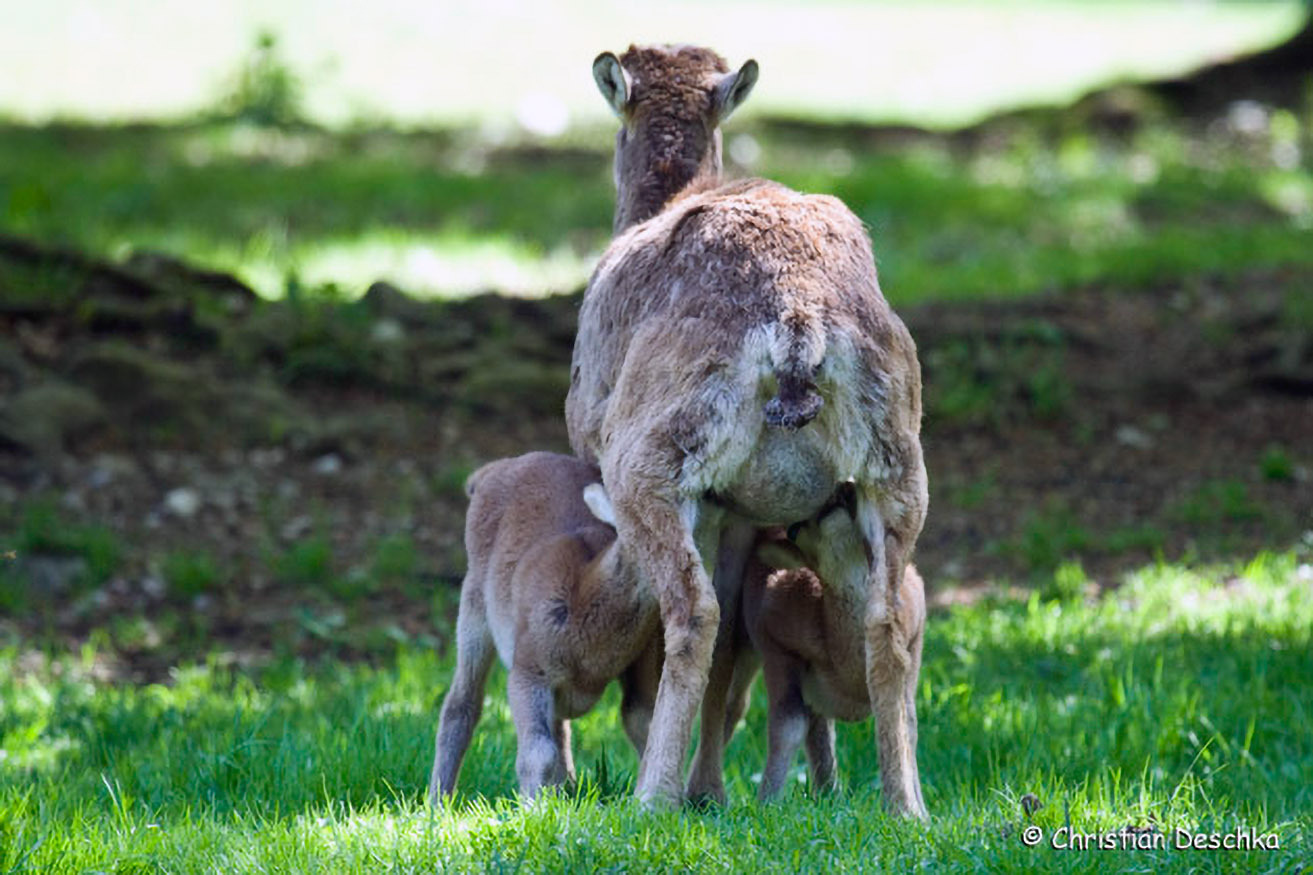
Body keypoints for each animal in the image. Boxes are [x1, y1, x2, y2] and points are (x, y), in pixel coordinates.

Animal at [427, 451, 661, 802]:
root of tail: (490, 471)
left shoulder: (642, 665)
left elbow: (643, 726)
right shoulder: (528, 669)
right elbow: (538, 753)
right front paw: (532, 811)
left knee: (559, 728)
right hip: (473, 604)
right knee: (462, 702)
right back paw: (437, 801)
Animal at [727, 494, 927, 804]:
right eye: (795, 528)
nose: (839, 498)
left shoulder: (914, 638)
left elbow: (907, 728)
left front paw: (920, 809)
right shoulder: (776, 648)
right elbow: (787, 728)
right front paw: (766, 801)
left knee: (819, 730)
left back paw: (829, 795)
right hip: (744, 643)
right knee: (734, 706)